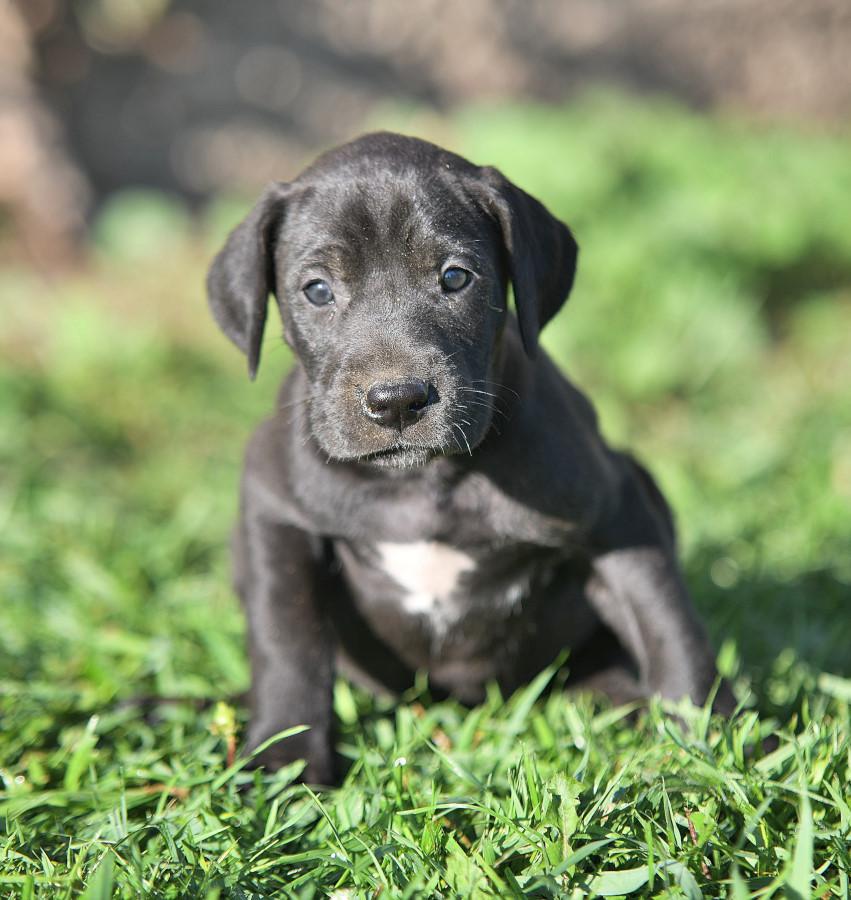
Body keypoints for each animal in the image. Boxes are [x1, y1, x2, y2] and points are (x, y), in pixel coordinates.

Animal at [205, 130, 724, 784]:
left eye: (455, 278)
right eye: (317, 290)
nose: (397, 401)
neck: (422, 481)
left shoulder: (618, 513)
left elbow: (668, 625)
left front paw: (711, 745)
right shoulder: (276, 512)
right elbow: (287, 638)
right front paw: (286, 759)